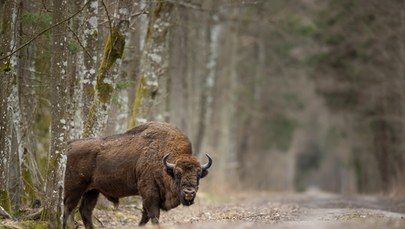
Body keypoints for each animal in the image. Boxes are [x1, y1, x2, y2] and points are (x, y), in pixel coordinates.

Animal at [62, 121, 211, 228]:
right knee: (67, 209)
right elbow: (153, 216)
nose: (189, 193)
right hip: (75, 188)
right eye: (177, 174)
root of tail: (69, 146)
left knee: (85, 211)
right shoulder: (149, 193)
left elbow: (145, 216)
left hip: (93, 190)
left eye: (198, 174)